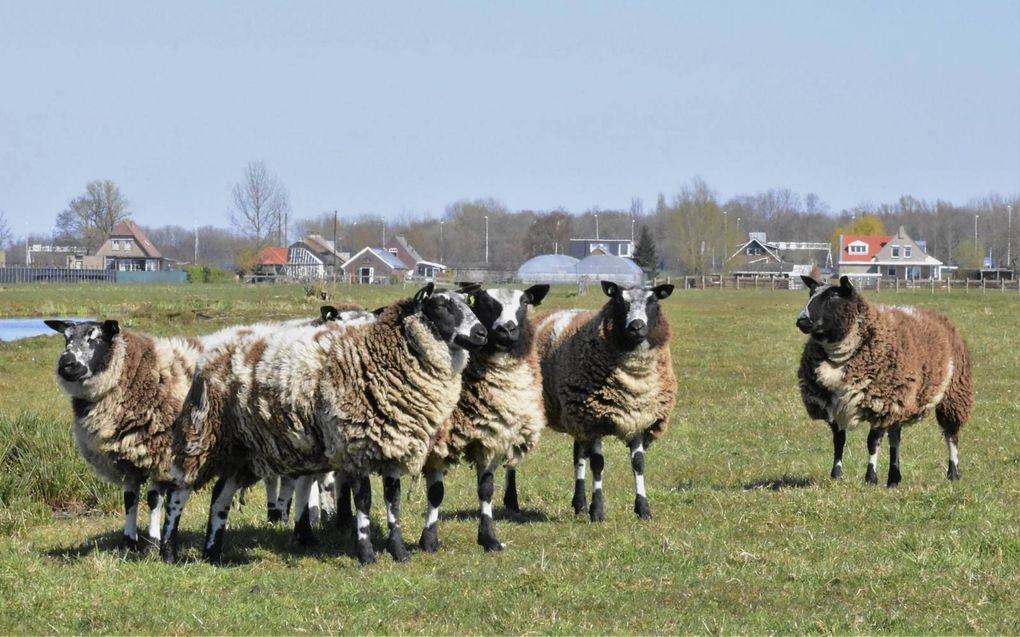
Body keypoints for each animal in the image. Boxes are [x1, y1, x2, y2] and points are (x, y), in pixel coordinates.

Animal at [44, 320, 202, 550]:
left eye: (97, 337)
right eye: (66, 338)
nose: (66, 363)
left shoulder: (161, 456)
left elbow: (153, 499)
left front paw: (152, 543)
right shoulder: (125, 461)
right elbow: (129, 499)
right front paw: (129, 542)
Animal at [161, 283, 487, 566]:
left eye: (466, 303)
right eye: (441, 305)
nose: (482, 333)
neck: (377, 353)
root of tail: (215, 347)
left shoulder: (392, 445)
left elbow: (392, 502)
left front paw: (398, 552)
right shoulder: (357, 445)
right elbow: (364, 501)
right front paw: (366, 554)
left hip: (243, 449)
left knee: (220, 495)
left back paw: (212, 553)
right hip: (203, 433)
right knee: (178, 493)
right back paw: (168, 551)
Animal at [414, 283, 550, 550]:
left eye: (525, 302)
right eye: (485, 303)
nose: (506, 329)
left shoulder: (491, 436)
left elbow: (486, 490)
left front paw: (489, 539)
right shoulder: (438, 444)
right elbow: (436, 493)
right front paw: (429, 541)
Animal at [534, 281, 677, 519]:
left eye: (654, 301)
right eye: (619, 300)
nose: (636, 326)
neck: (635, 382)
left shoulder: (639, 418)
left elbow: (638, 464)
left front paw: (643, 509)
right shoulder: (594, 420)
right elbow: (598, 464)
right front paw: (598, 511)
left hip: (576, 416)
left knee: (578, 455)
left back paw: (579, 505)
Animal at [795, 275, 971, 487]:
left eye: (833, 297)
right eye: (810, 294)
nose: (802, 319)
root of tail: (937, 317)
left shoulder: (880, 403)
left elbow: (872, 442)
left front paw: (870, 477)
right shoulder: (835, 405)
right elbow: (839, 440)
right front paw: (836, 474)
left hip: (953, 394)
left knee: (951, 435)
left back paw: (953, 473)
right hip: (900, 399)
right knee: (895, 438)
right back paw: (894, 479)